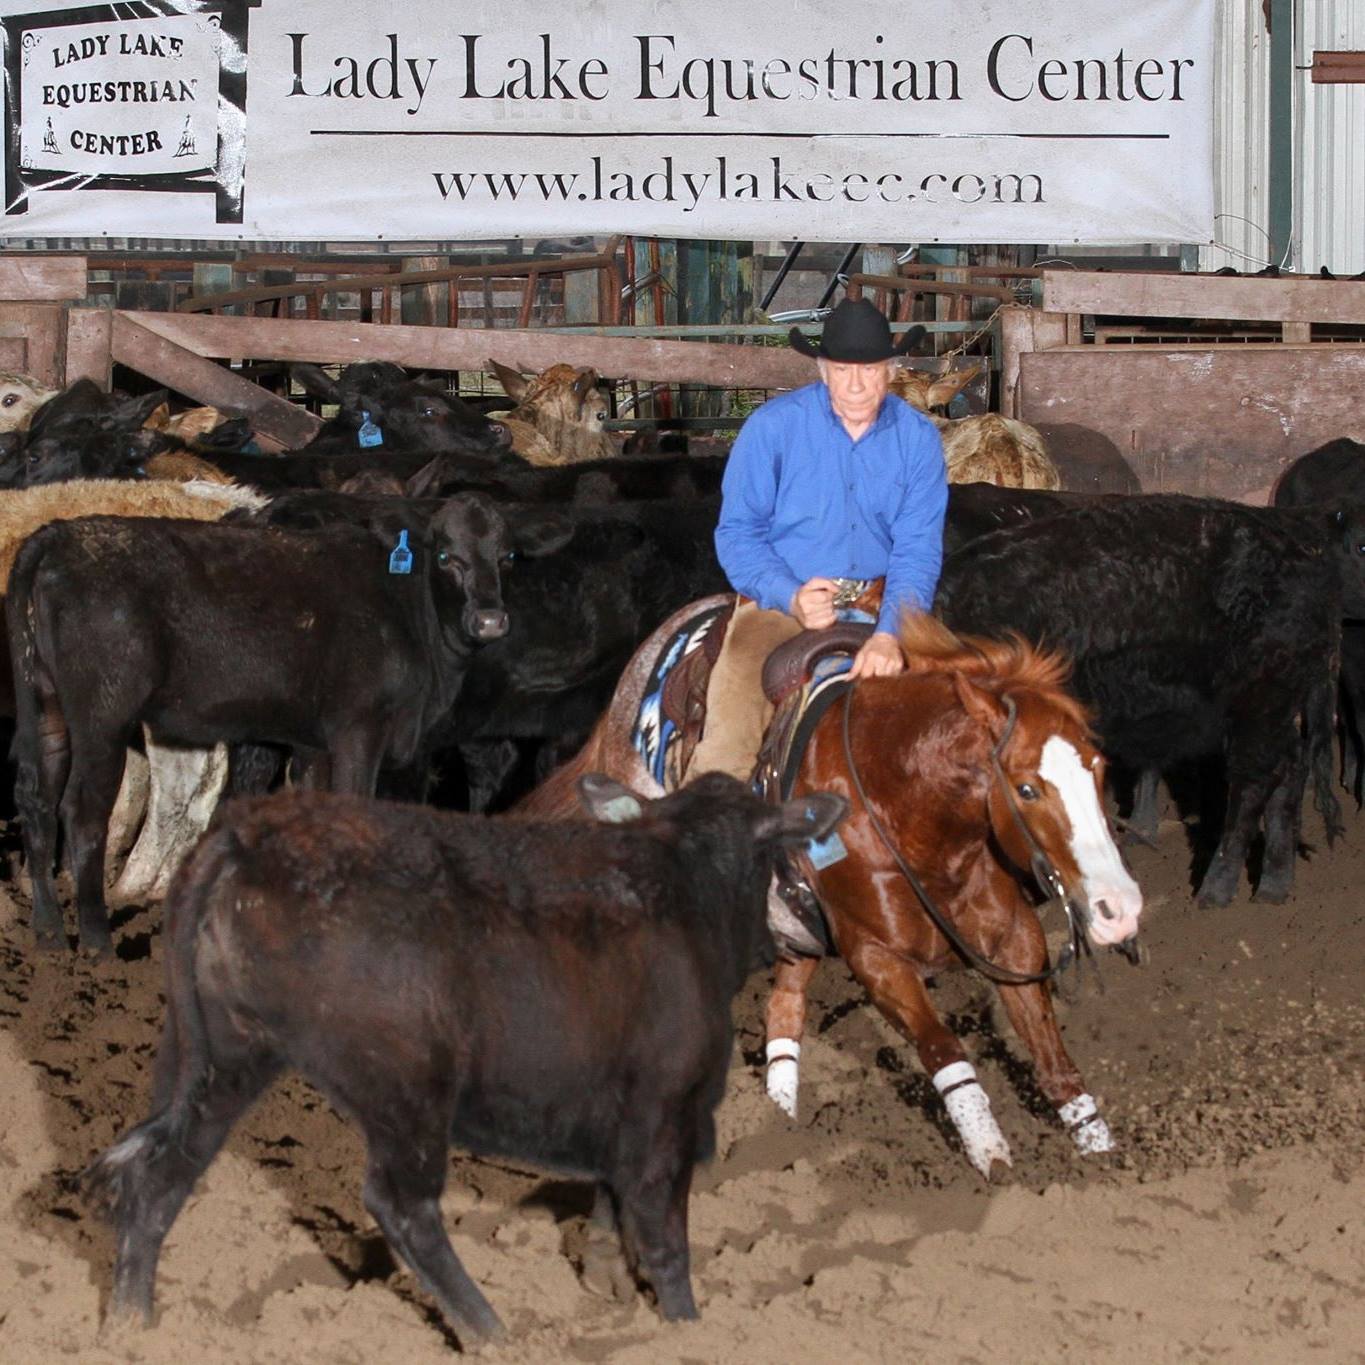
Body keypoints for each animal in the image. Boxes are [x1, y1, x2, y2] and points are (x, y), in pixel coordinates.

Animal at [521, 614, 1141, 1179]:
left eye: (1099, 766)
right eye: (1028, 788)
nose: (1120, 908)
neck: (908, 809)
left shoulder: (1014, 942)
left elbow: (1051, 1056)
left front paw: (1102, 1154)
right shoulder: (876, 957)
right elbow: (944, 1047)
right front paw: (992, 1154)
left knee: (783, 1009)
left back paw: (782, 1126)